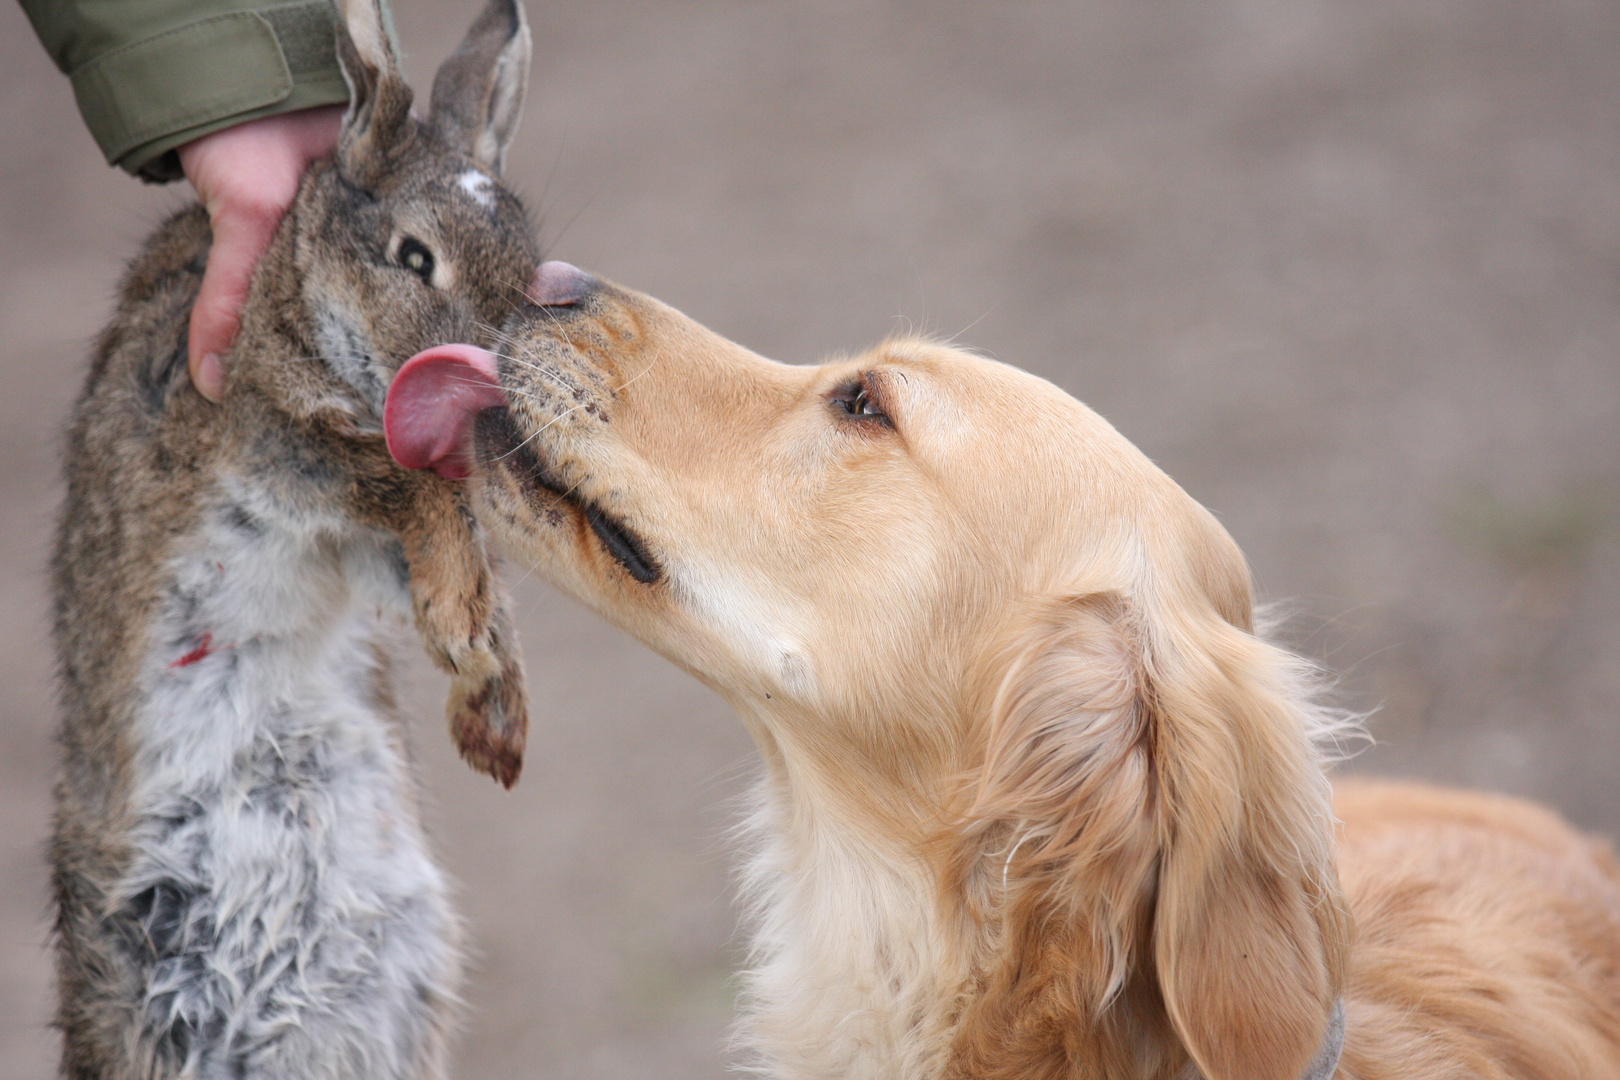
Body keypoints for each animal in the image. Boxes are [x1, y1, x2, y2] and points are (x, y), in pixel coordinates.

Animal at [49, 2, 544, 1075]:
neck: (297, 287)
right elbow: (411, 489)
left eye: (531, 258)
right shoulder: (272, 445)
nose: (503, 388)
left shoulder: (350, 539)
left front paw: (491, 706)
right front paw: (468, 640)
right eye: (413, 256)